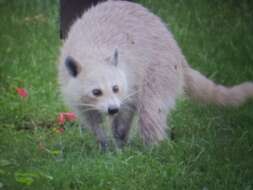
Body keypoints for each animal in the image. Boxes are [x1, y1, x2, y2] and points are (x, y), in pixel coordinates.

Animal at [57, 1, 253, 150]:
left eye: (116, 88)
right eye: (96, 92)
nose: (113, 110)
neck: (93, 54)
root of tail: (177, 52)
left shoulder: (131, 78)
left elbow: (127, 110)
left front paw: (119, 142)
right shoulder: (71, 84)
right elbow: (90, 118)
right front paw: (103, 142)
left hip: (161, 68)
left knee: (150, 108)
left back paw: (153, 149)